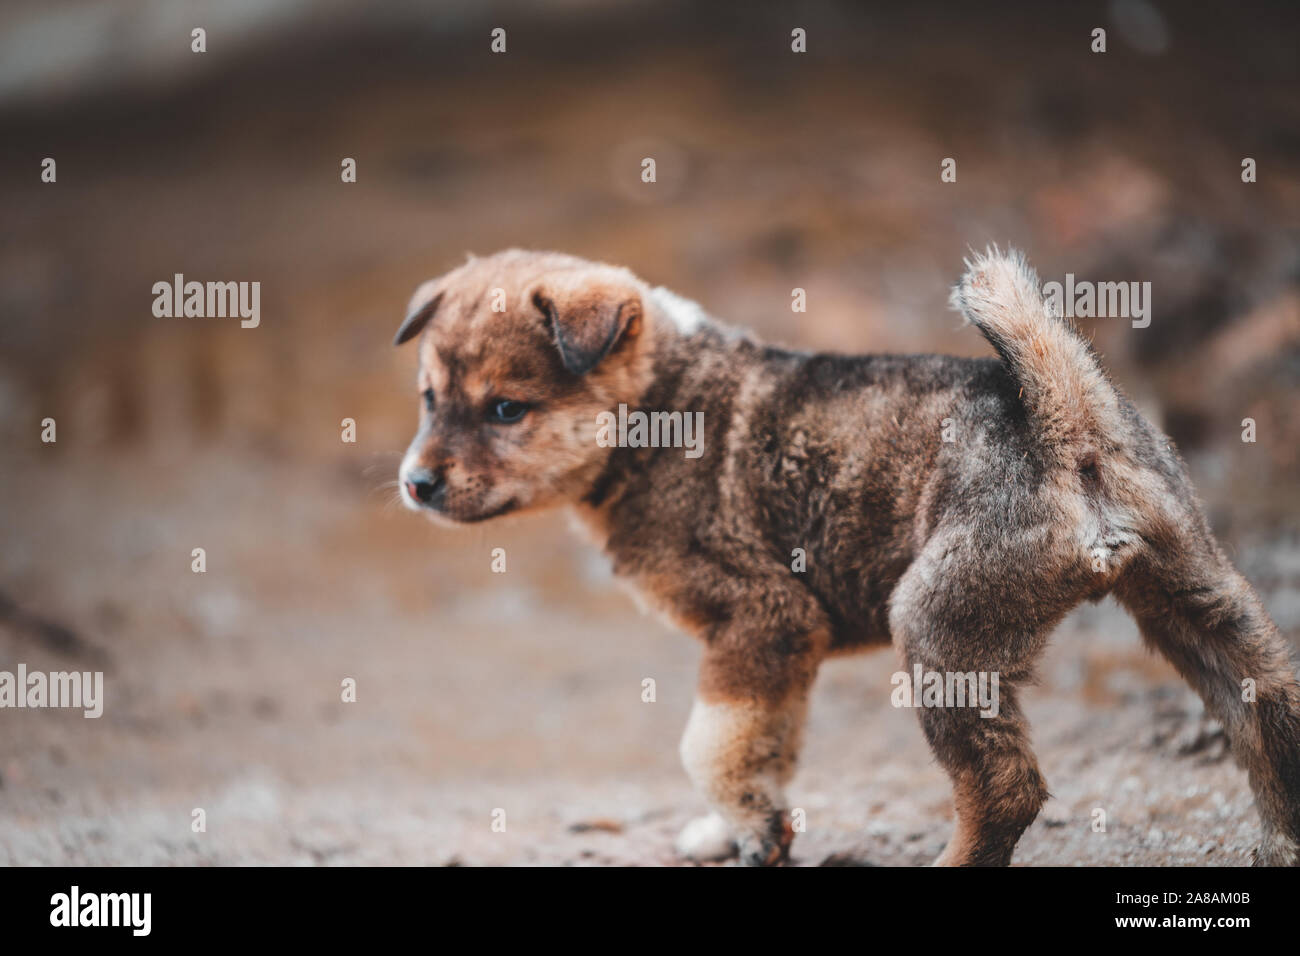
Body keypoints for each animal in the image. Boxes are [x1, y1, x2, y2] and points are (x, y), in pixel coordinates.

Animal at [392, 247, 1300, 868]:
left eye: (506, 409)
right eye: (429, 399)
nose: (414, 484)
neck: (654, 408)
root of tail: (1067, 419)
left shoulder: (762, 620)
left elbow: (713, 749)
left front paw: (751, 831)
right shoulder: (774, 652)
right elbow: (761, 751)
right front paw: (737, 831)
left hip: (937, 631)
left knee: (1004, 788)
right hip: (1197, 600)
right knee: (1266, 711)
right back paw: (1282, 841)